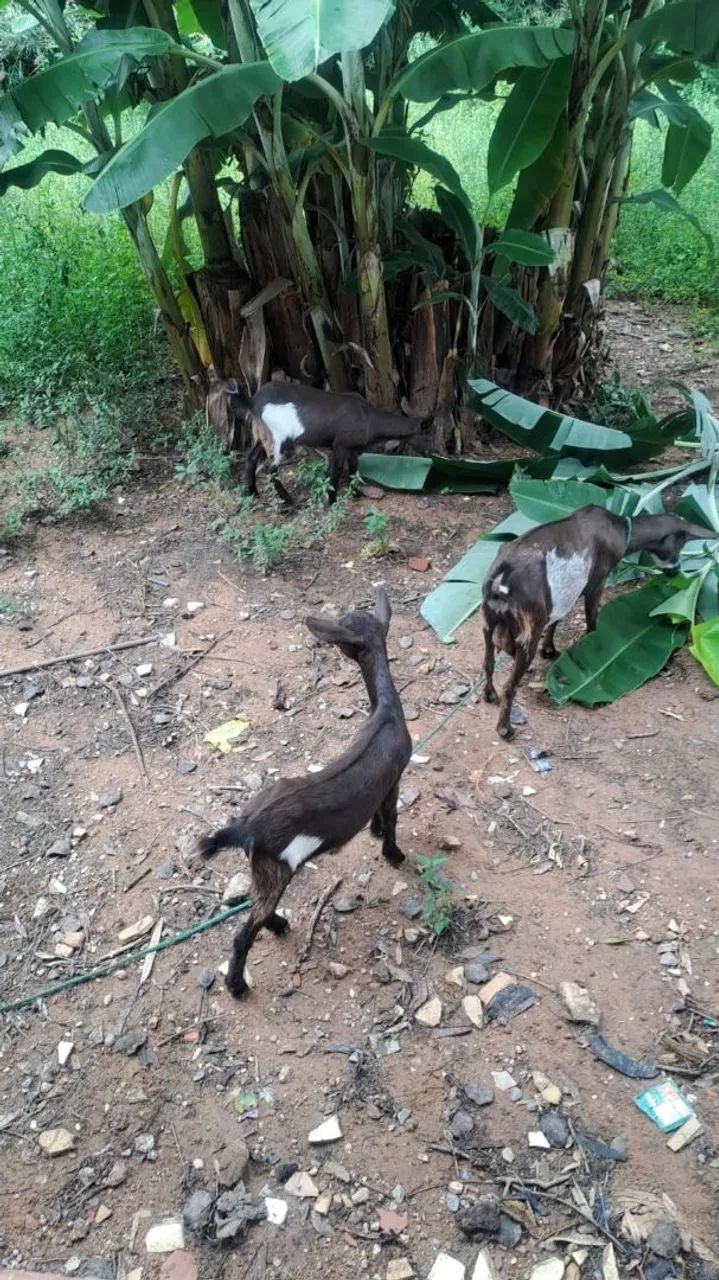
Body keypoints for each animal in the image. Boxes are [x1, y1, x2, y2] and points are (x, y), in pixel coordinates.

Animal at [198, 588, 412, 998]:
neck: (385, 711)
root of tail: (245, 828)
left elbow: (379, 814)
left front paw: (375, 832)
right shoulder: (395, 777)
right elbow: (392, 816)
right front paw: (393, 853)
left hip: (262, 869)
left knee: (257, 908)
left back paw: (278, 925)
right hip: (278, 867)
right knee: (244, 931)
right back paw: (237, 985)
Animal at [226, 381, 432, 504]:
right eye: (426, 434)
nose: (430, 453)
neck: (367, 418)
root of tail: (252, 401)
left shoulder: (352, 448)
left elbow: (353, 469)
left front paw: (356, 494)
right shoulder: (340, 445)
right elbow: (337, 470)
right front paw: (332, 500)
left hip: (261, 434)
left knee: (251, 458)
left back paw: (252, 493)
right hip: (280, 438)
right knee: (271, 468)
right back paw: (289, 501)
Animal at [482, 505, 712, 739]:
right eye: (680, 543)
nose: (675, 571)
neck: (619, 528)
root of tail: (501, 579)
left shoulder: (565, 594)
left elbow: (558, 616)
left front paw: (549, 650)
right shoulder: (596, 581)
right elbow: (591, 618)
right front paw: (591, 646)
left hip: (489, 623)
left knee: (488, 663)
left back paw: (490, 695)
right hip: (529, 629)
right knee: (510, 684)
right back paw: (505, 729)